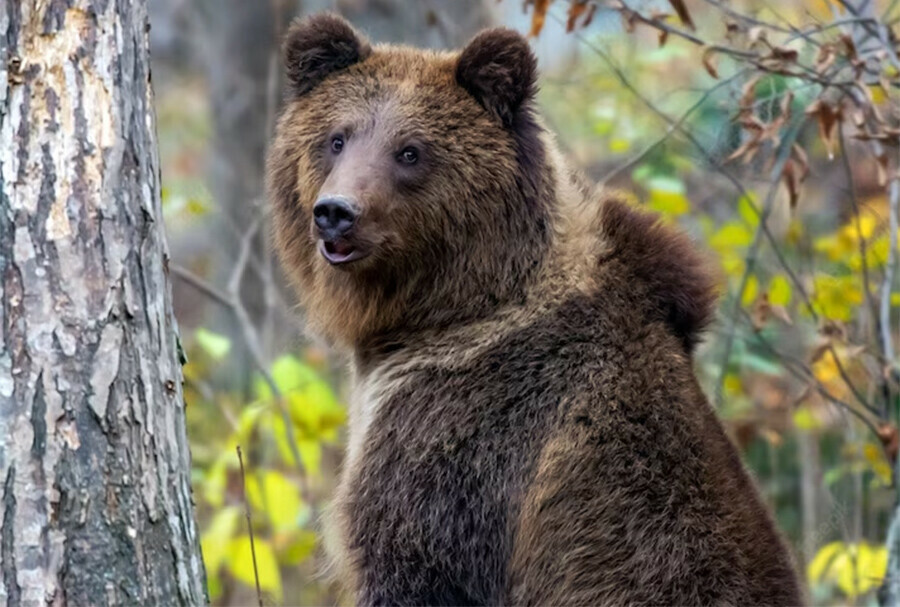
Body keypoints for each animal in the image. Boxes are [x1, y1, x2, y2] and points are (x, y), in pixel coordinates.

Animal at [266, 11, 800, 604]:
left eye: (410, 150)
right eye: (337, 138)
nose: (336, 212)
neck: (448, 310)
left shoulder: (470, 437)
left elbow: (416, 559)